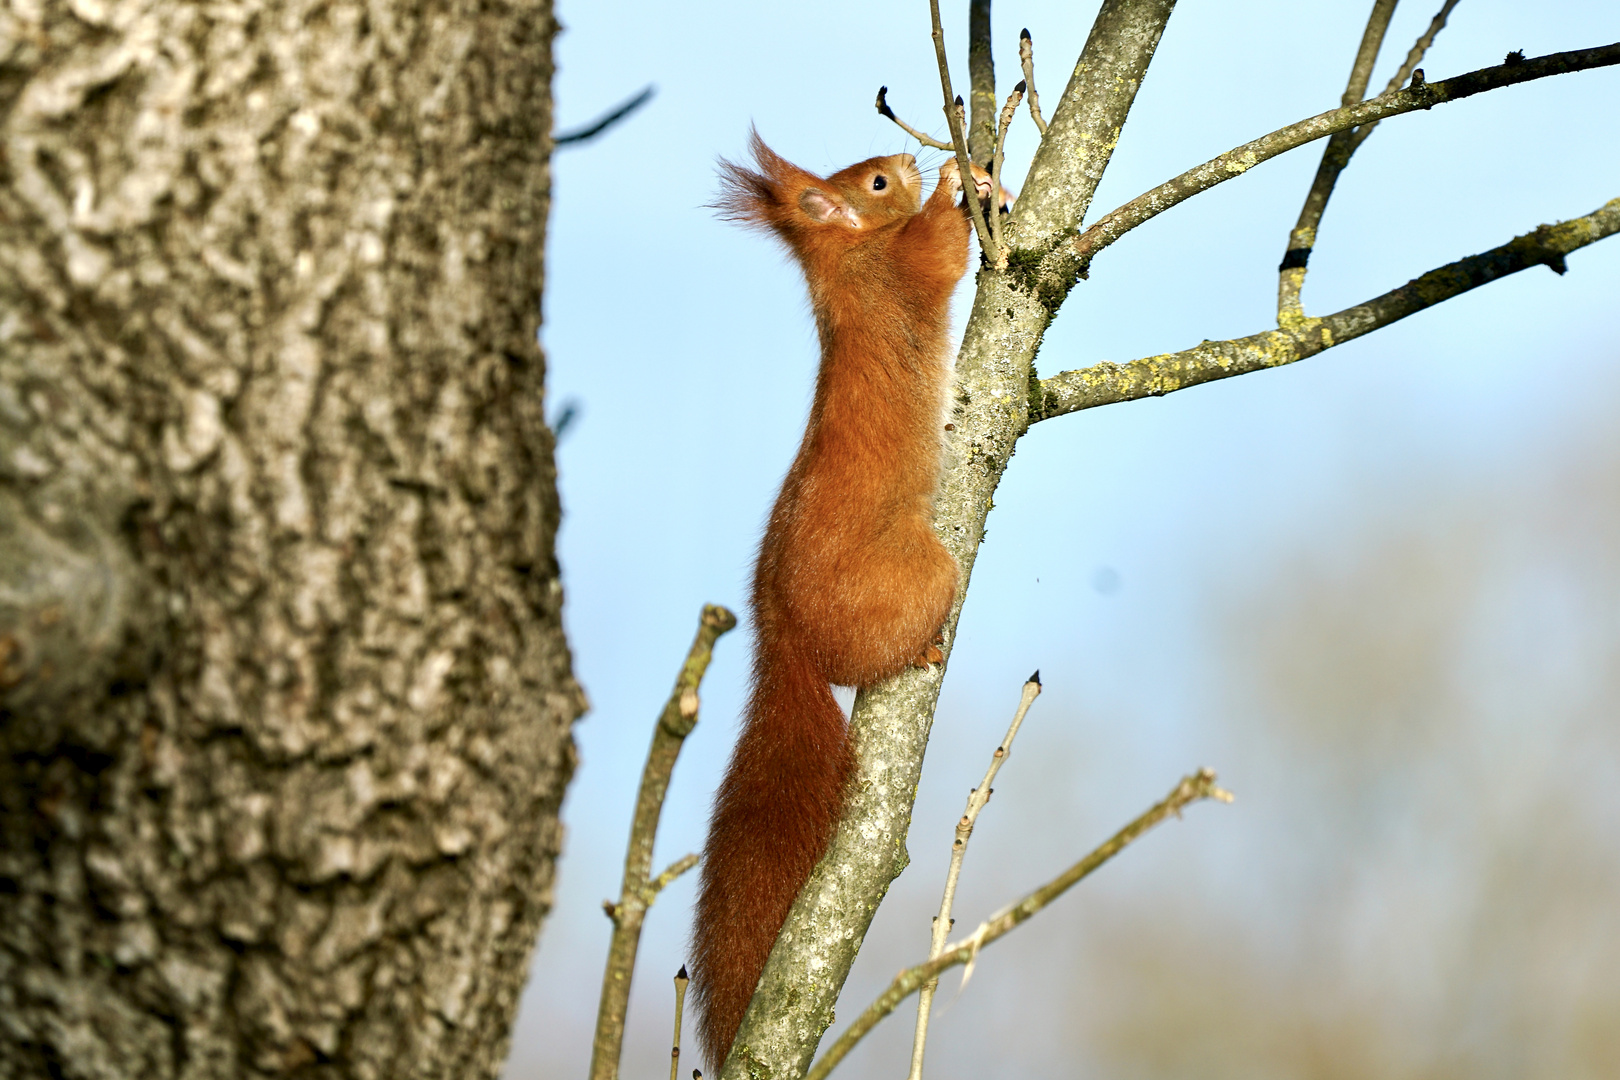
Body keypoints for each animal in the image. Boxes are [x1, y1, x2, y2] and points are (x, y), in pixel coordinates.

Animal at [690, 132, 991, 1062]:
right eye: (878, 182)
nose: (908, 154)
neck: (845, 258)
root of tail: (778, 625)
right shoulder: (900, 272)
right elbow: (940, 254)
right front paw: (963, 181)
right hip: (922, 574)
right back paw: (920, 647)